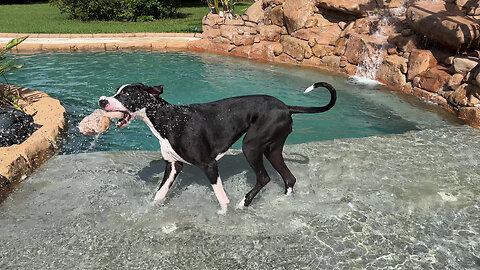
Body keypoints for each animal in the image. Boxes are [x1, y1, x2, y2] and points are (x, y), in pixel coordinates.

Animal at [99, 83, 336, 215]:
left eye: (126, 94)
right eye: (116, 91)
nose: (102, 101)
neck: (170, 119)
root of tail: (286, 107)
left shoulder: (209, 165)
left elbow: (221, 197)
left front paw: (225, 213)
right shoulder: (173, 166)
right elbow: (159, 194)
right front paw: (149, 209)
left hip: (251, 146)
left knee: (264, 178)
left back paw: (243, 204)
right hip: (272, 150)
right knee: (289, 178)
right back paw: (282, 201)